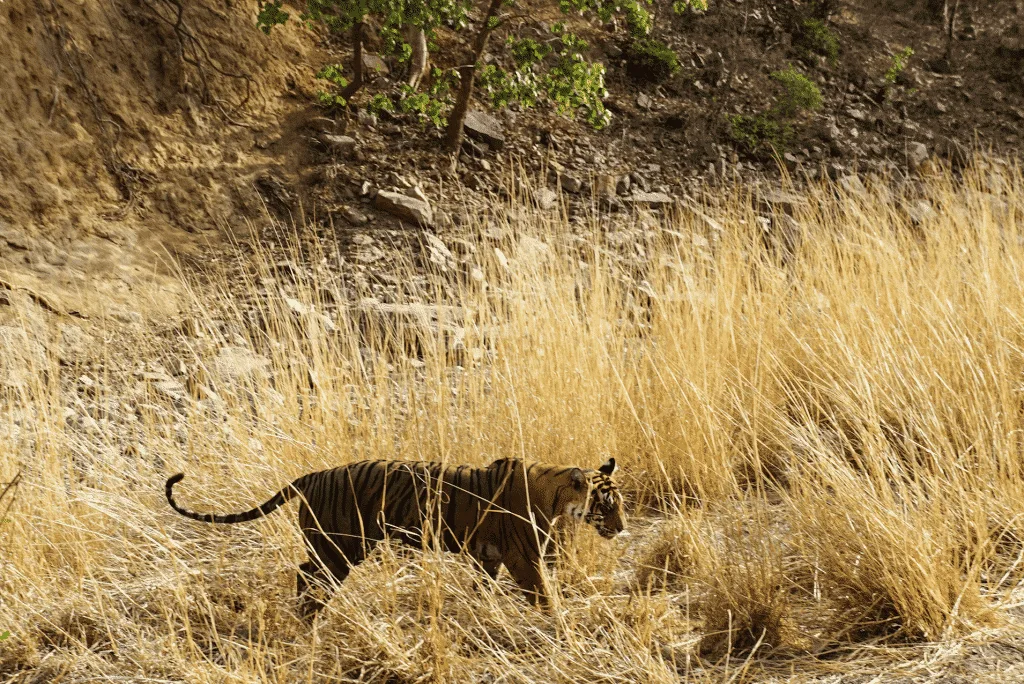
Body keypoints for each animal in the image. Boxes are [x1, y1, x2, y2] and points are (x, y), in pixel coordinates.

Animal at [165, 456, 622, 610]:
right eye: (606, 506)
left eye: (619, 504)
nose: (621, 529)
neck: (558, 499)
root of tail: (313, 476)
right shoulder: (521, 557)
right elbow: (541, 593)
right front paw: (554, 622)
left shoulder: (488, 557)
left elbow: (483, 590)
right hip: (342, 546)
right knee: (309, 574)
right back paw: (310, 616)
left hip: (337, 546)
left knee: (304, 572)